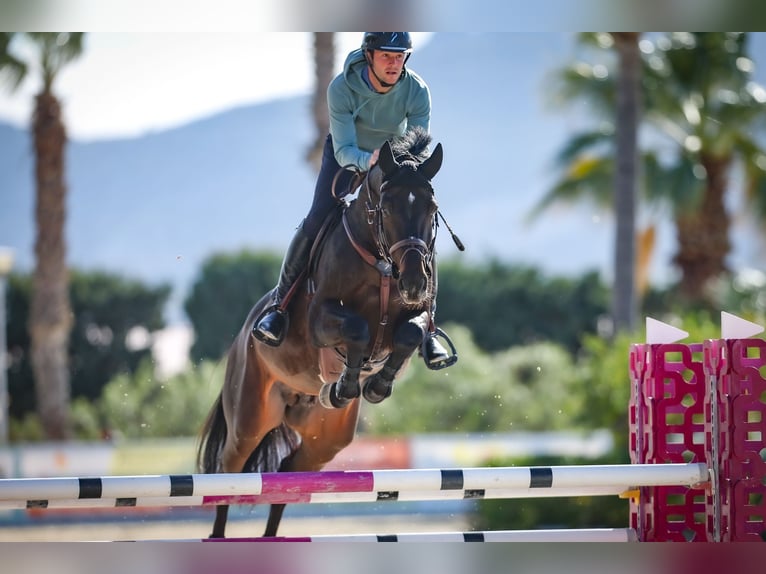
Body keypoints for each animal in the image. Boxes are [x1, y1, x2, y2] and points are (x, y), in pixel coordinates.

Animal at [196, 127, 456, 540]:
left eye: (432, 209)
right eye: (387, 208)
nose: (415, 282)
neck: (381, 263)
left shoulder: (416, 315)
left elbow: (411, 335)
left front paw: (374, 385)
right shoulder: (320, 319)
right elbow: (358, 328)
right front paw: (348, 384)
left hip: (325, 439)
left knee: (290, 474)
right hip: (249, 418)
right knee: (228, 472)